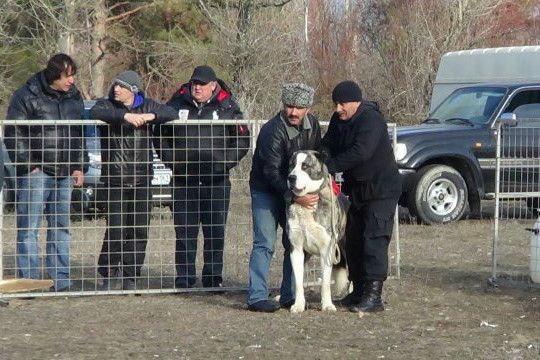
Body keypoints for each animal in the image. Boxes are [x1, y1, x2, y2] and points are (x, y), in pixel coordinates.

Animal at [286, 150, 350, 312]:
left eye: (305, 166)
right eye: (291, 165)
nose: (291, 178)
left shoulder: (327, 250)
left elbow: (325, 283)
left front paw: (327, 305)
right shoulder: (296, 249)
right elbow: (298, 282)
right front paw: (298, 305)